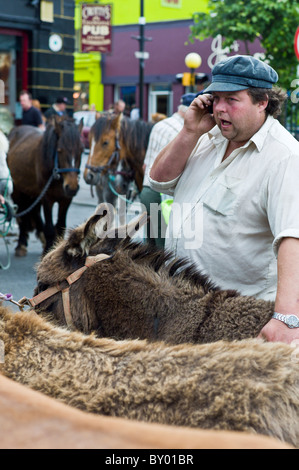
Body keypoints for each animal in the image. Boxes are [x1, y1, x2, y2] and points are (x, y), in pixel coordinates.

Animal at [7, 117, 84, 258]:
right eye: (59, 150)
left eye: (81, 150)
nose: (72, 187)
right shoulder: (47, 199)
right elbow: (49, 229)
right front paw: (47, 250)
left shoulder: (65, 200)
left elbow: (60, 226)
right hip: (17, 192)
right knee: (23, 216)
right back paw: (21, 244)